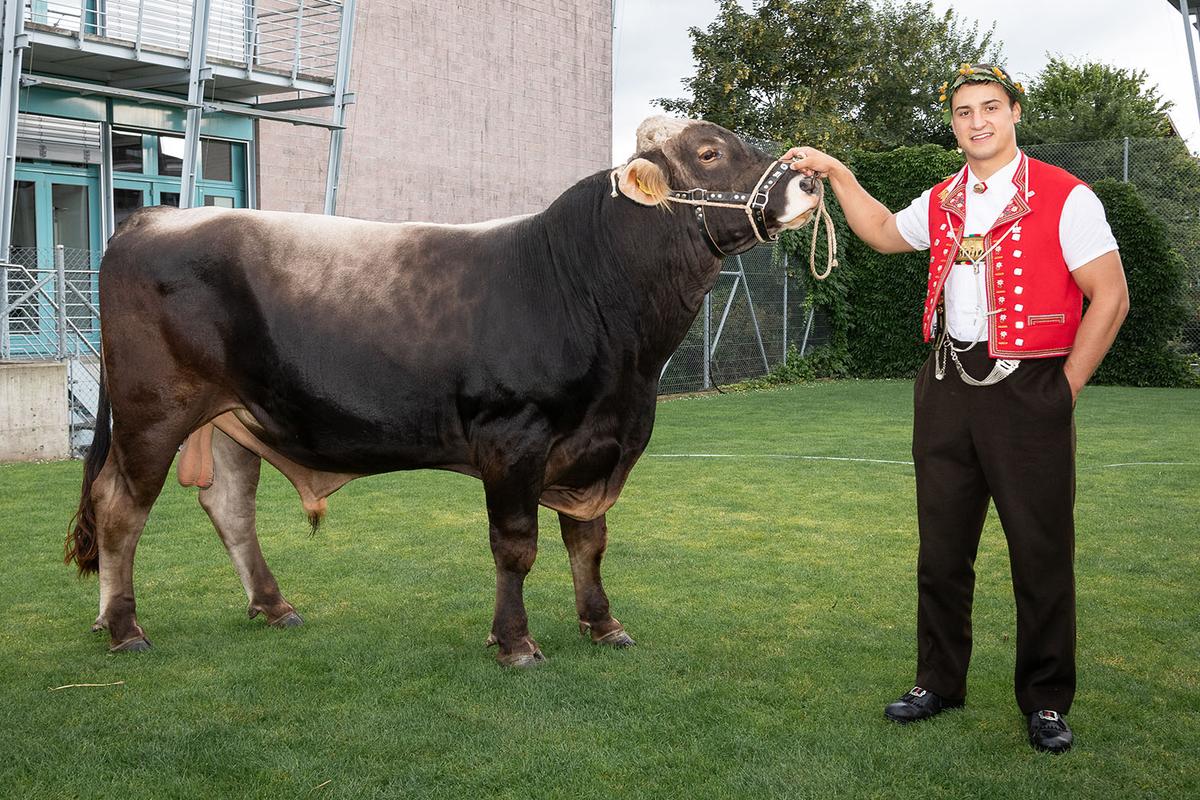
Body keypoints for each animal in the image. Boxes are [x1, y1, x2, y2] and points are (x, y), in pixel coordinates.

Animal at [68, 115, 825, 666]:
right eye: (708, 153)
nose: (809, 182)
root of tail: (152, 219)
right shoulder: (513, 436)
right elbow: (516, 545)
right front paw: (515, 642)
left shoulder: (599, 445)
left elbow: (588, 541)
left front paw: (603, 624)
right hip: (154, 411)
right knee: (120, 509)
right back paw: (124, 628)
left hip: (233, 418)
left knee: (228, 507)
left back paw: (270, 606)